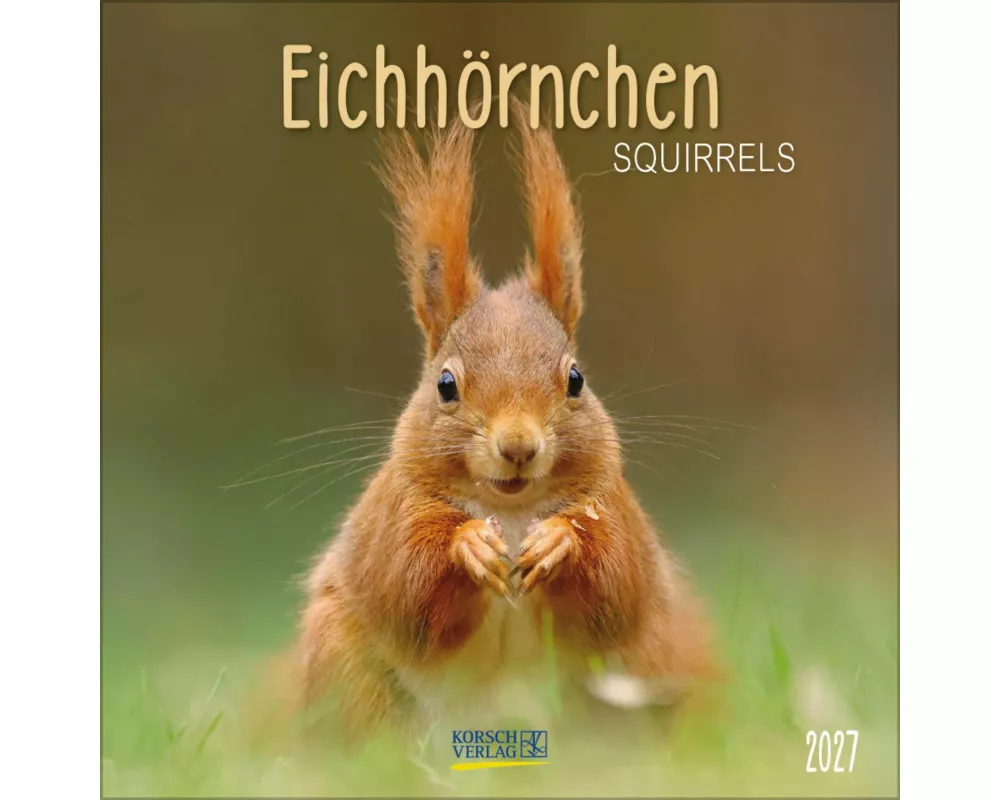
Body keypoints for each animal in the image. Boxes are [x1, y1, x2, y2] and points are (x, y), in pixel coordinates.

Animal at [297, 106, 720, 741]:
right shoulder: (391, 514)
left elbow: (615, 580)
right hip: (340, 655)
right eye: (445, 385)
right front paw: (468, 545)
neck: (512, 509)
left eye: (576, 380)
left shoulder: (616, 511)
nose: (518, 446)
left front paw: (559, 542)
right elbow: (405, 580)